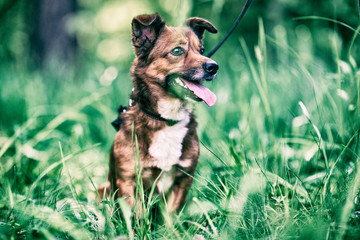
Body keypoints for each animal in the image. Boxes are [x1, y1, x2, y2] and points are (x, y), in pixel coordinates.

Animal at [97, 12, 218, 212]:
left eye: (202, 50)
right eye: (177, 51)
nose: (213, 67)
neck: (166, 119)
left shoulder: (182, 179)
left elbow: (170, 216)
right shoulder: (129, 181)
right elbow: (136, 217)